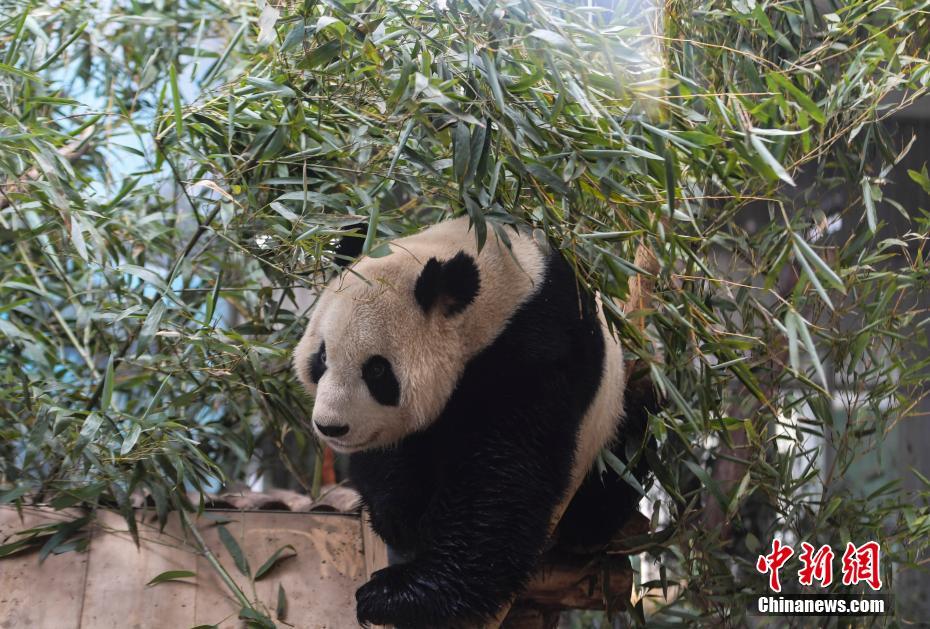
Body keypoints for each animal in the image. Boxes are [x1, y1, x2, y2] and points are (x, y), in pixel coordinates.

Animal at [294, 217, 648, 628]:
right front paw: (403, 519)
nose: (331, 427)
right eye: (322, 357)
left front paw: (396, 595)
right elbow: (394, 464)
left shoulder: (534, 355)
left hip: (611, 428)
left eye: (377, 371)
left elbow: (499, 488)